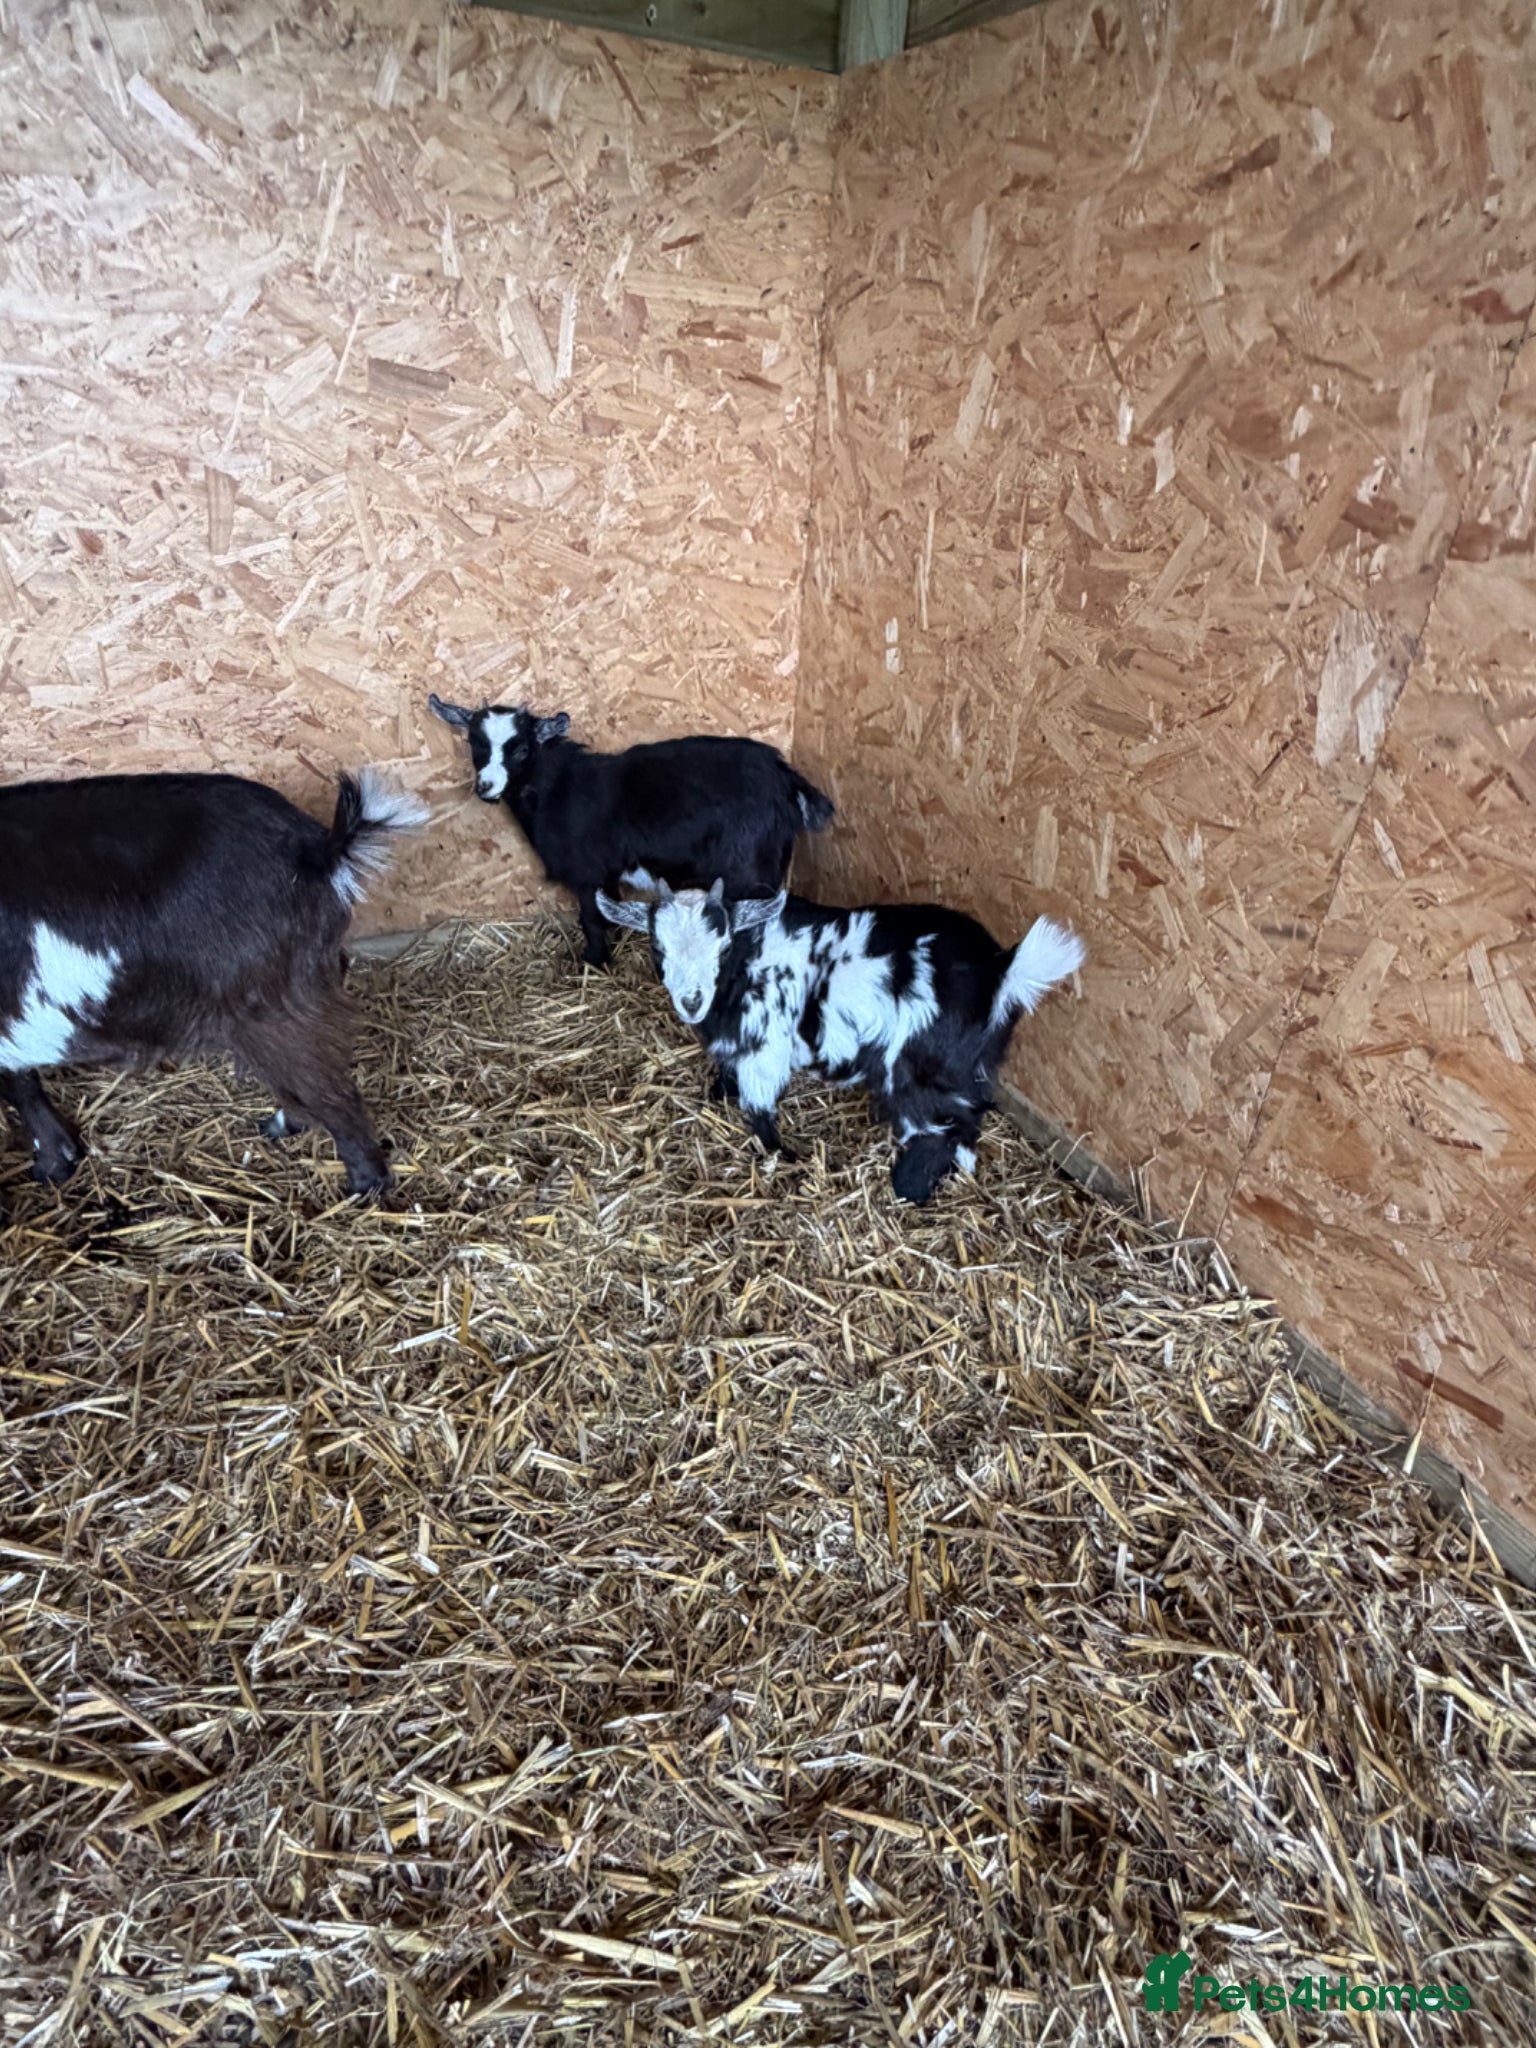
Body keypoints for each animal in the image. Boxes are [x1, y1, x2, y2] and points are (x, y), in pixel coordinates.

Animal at [0, 768, 426, 1199]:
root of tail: (321, 850)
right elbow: (23, 1082)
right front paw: (61, 1156)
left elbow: (19, 1085)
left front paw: (53, 1165)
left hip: (272, 1003)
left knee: (330, 1090)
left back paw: (363, 1187)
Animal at [427, 695, 834, 968]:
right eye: (475, 743)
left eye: (522, 748)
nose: (486, 787)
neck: (554, 788)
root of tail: (786, 778)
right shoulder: (606, 873)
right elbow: (609, 910)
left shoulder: (586, 872)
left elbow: (591, 919)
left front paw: (593, 961)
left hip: (749, 867)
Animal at [597, 880, 1086, 1204]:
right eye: (658, 949)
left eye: (723, 947)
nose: (692, 1001)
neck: (747, 964)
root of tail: (1002, 971)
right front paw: (719, 1091)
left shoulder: (765, 1048)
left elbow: (759, 1109)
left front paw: (782, 1154)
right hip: (971, 1064)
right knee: (968, 1122)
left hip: (914, 1070)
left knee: (938, 1131)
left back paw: (907, 1190)